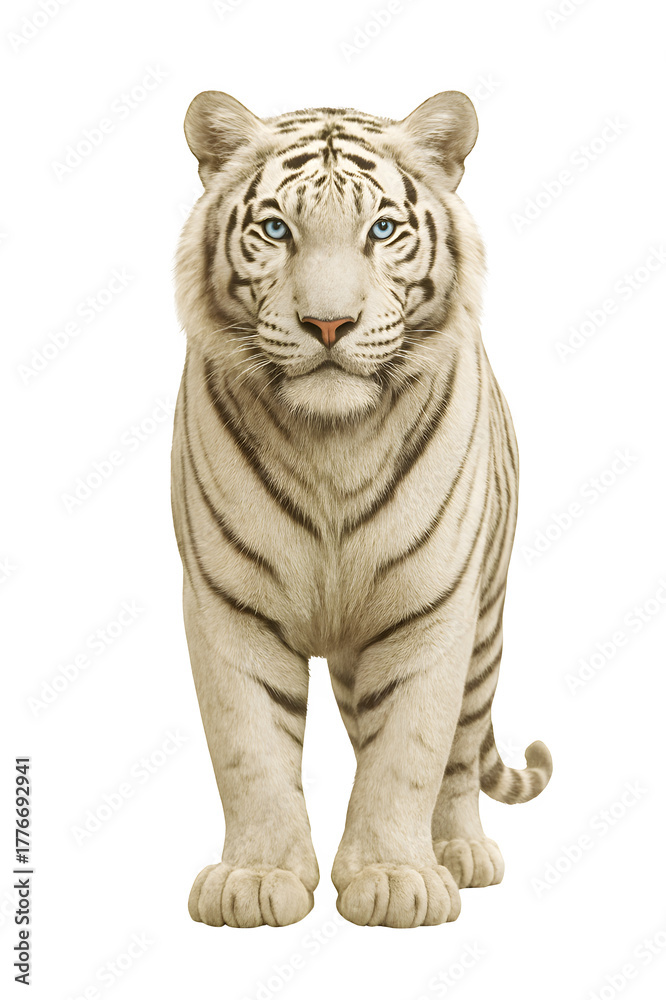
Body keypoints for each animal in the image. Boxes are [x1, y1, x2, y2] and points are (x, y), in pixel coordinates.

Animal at [171, 89, 552, 929]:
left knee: (460, 750)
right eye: (276, 229)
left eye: (381, 229)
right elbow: (250, 750)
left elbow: (409, 753)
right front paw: (256, 880)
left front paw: (394, 879)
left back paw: (462, 854)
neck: (331, 444)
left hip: (485, 623)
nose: (328, 325)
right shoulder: (228, 606)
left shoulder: (432, 607)